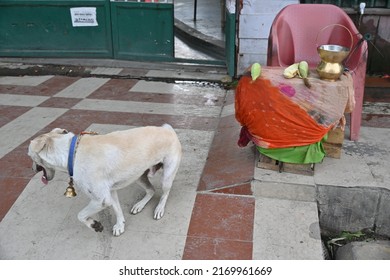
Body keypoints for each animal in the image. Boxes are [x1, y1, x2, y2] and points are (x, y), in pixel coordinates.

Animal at [27, 124, 183, 236]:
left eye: (29, 155)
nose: (32, 169)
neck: (71, 154)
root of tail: (168, 130)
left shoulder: (101, 199)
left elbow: (80, 215)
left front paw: (94, 225)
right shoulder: (110, 192)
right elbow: (117, 209)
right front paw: (120, 226)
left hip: (166, 177)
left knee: (164, 194)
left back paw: (159, 209)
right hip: (138, 176)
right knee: (151, 190)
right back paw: (139, 205)